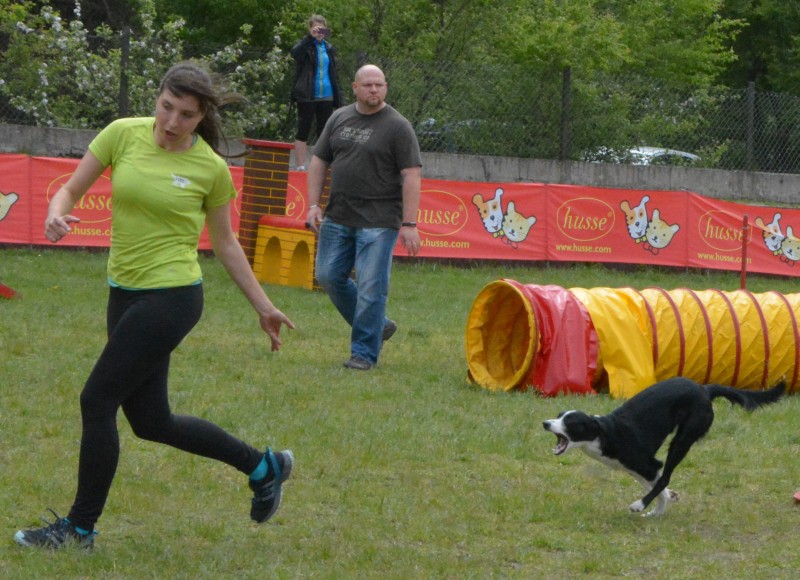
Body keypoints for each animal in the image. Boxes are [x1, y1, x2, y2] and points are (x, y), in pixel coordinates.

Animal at [543, 377, 785, 516]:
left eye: (570, 422)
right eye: (558, 415)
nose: (545, 423)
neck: (604, 433)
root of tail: (704, 389)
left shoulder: (648, 464)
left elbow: (659, 483)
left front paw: (643, 506)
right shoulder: (636, 469)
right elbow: (657, 488)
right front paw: (662, 507)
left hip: (682, 439)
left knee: (667, 474)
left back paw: (642, 507)